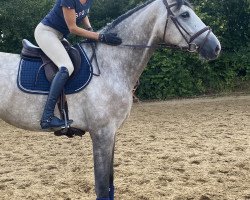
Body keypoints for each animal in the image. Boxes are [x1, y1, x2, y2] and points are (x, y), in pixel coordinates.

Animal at [0, 0, 220, 199]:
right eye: (185, 15)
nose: (216, 47)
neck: (111, 64)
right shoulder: (102, 133)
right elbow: (102, 187)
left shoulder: (111, 133)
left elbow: (110, 185)